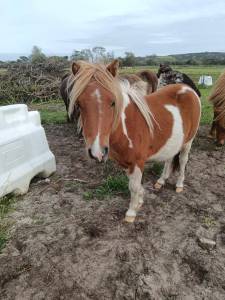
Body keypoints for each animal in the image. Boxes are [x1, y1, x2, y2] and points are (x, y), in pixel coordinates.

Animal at [67, 59, 200, 223]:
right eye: (79, 104)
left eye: (113, 102)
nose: (97, 152)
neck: (127, 125)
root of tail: (187, 88)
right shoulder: (126, 162)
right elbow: (133, 184)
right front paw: (140, 200)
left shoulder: (137, 162)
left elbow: (134, 187)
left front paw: (131, 212)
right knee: (169, 159)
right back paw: (161, 181)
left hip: (188, 141)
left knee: (182, 160)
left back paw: (180, 184)